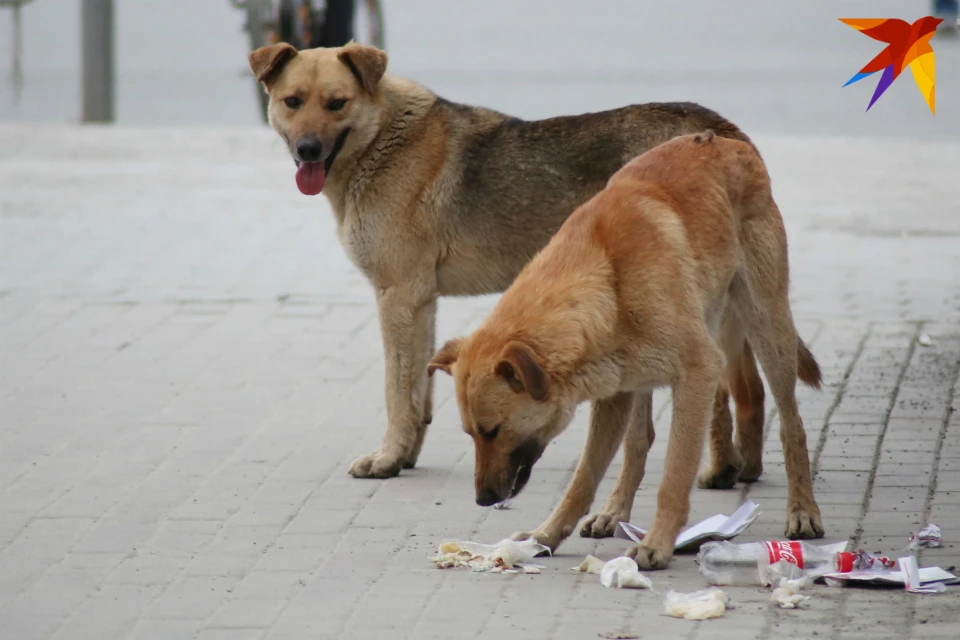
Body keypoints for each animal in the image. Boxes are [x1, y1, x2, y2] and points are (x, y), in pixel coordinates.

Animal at [246, 45, 772, 498]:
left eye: (337, 104)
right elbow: (419, 392)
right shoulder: (420, 301)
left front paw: (387, 460)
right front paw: (406, 455)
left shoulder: (397, 295)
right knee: (747, 388)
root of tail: (717, 128)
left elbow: (398, 391)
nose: (308, 149)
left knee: (720, 390)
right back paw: (740, 469)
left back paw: (718, 470)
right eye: (293, 102)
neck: (383, 140)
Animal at [428, 134, 824, 568]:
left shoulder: (699, 374)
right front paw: (547, 535)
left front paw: (658, 543)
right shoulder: (613, 394)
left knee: (792, 425)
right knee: (638, 442)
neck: (607, 278)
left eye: (493, 431)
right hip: (639, 377)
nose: (483, 500)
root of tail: (728, 141)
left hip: (768, 327)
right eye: (471, 434)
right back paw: (614, 511)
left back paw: (803, 510)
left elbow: (674, 475)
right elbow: (584, 476)